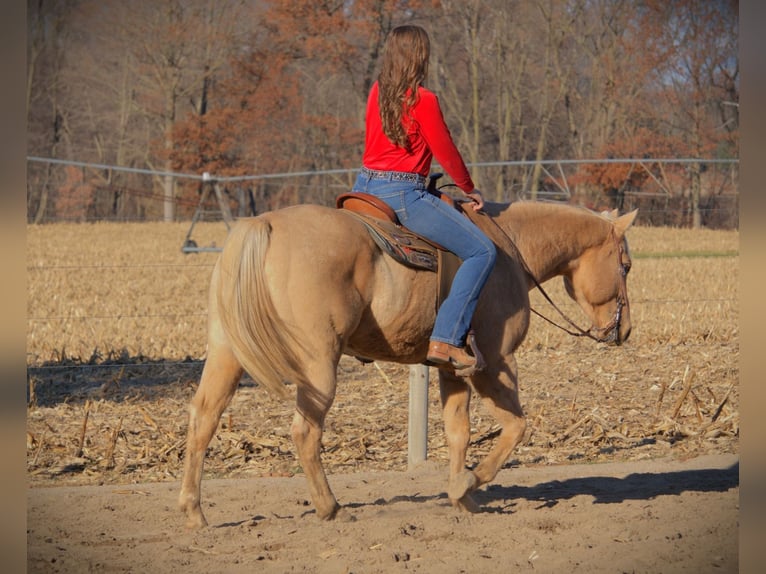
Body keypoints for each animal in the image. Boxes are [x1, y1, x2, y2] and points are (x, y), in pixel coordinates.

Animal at [178, 198, 637, 528]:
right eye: (626, 265)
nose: (625, 330)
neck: (510, 252)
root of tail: (265, 224)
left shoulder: (453, 369)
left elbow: (458, 433)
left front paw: (462, 497)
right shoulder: (496, 364)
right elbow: (515, 427)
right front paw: (469, 482)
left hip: (226, 354)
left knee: (204, 419)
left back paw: (194, 512)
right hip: (318, 365)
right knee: (305, 431)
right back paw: (330, 507)